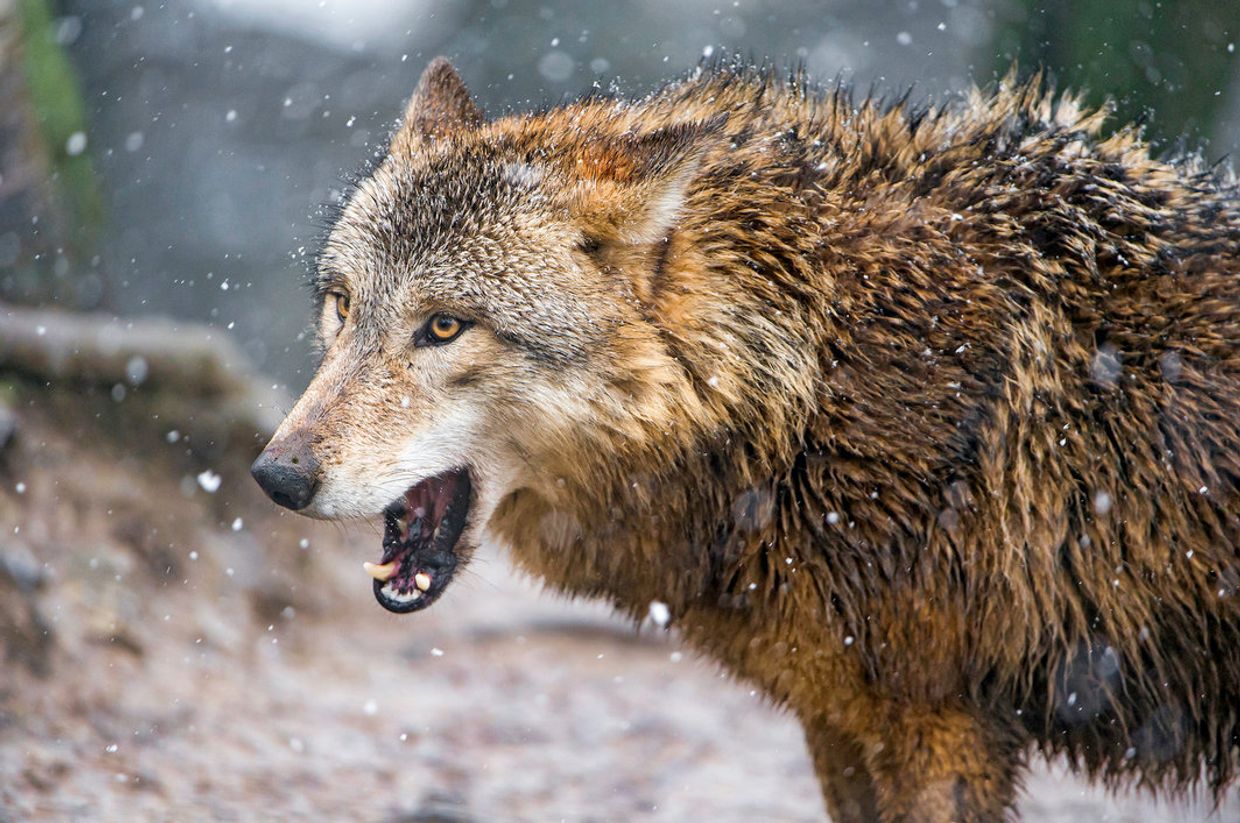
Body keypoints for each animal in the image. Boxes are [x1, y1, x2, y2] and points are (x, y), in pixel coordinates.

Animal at [251, 57, 1240, 821]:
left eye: (446, 327)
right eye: (343, 305)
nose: (274, 476)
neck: (810, 376)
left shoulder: (940, 721)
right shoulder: (839, 716)